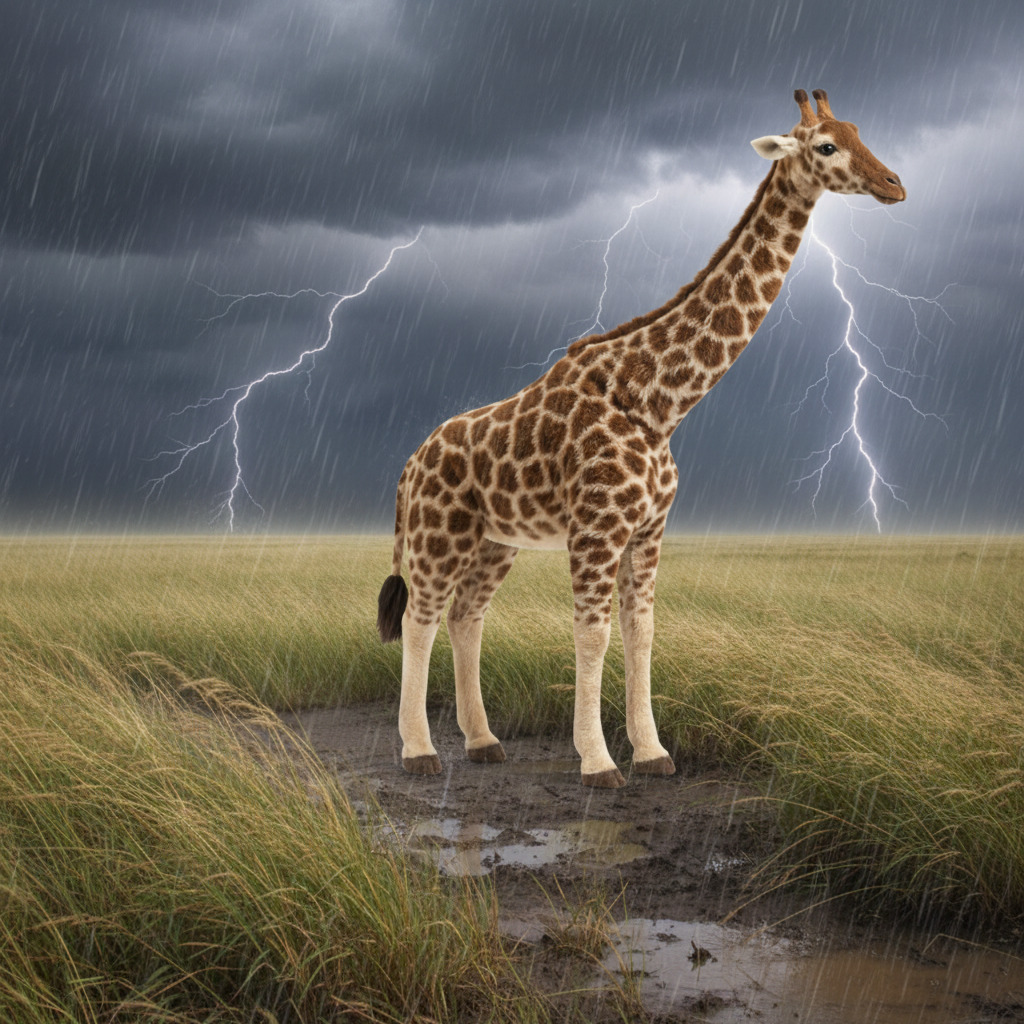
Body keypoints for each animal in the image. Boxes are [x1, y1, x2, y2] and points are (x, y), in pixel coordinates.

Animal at [376, 89, 906, 788]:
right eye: (825, 146)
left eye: (860, 131)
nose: (894, 184)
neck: (659, 403)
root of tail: (410, 464)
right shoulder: (597, 527)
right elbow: (592, 633)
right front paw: (599, 761)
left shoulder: (649, 528)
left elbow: (642, 631)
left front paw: (652, 752)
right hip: (440, 535)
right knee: (421, 617)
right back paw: (419, 752)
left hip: (495, 541)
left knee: (467, 616)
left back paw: (484, 741)